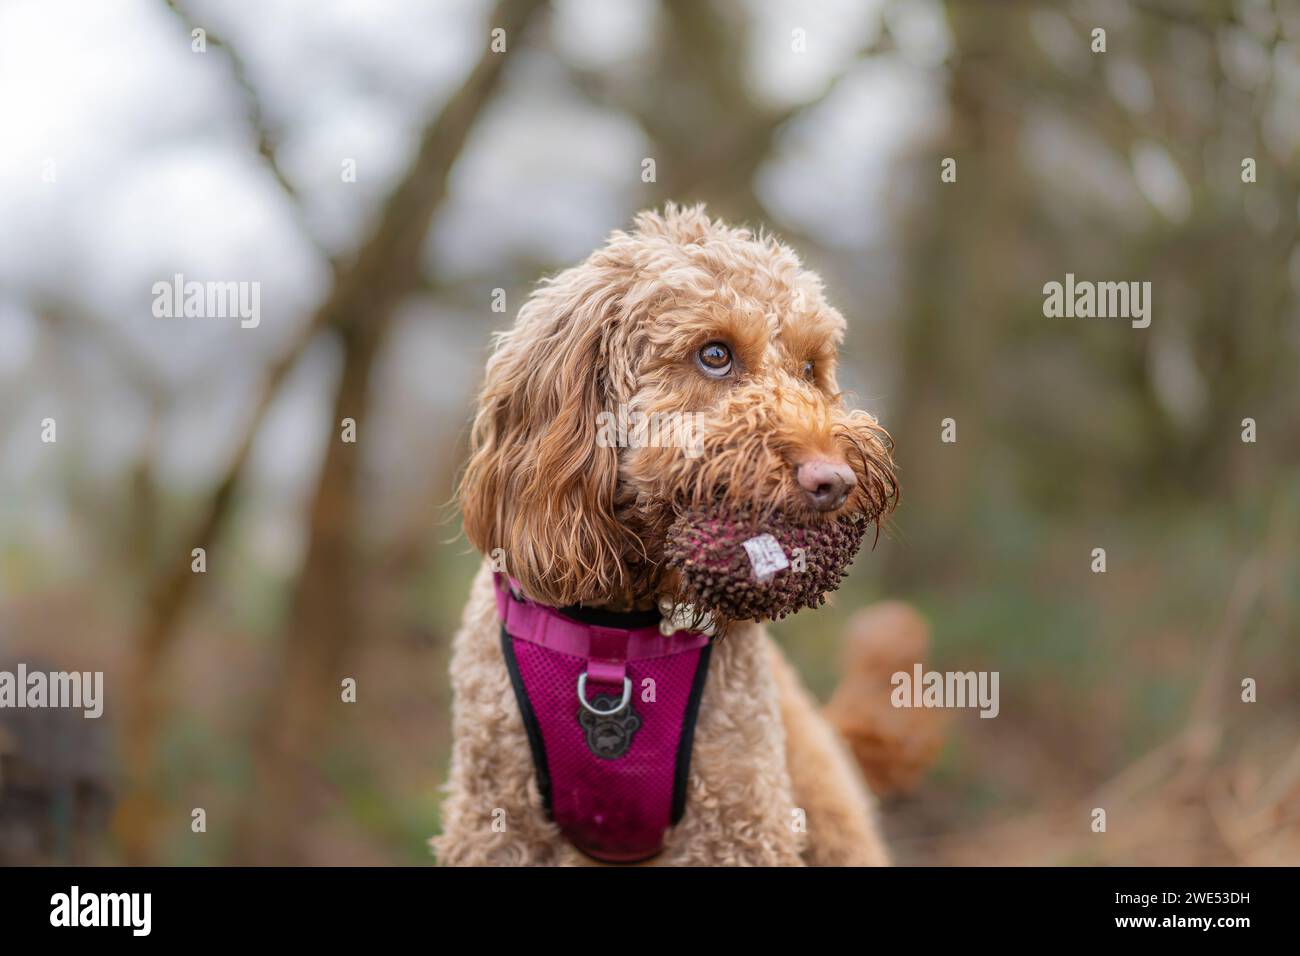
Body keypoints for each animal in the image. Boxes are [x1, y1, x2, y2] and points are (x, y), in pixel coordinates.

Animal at [436, 204, 904, 868]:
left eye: (812, 369)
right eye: (715, 354)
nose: (835, 480)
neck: (615, 635)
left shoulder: (737, 820)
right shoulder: (497, 821)